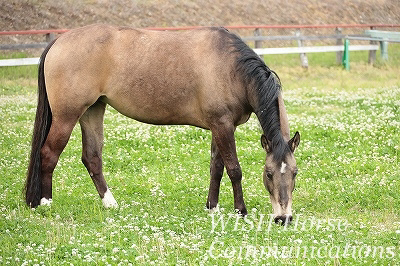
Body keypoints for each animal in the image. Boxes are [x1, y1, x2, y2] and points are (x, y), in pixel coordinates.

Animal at [24, 24, 300, 224]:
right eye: (268, 173)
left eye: (295, 172)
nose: (283, 218)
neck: (231, 68)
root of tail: (59, 41)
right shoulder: (223, 126)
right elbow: (234, 169)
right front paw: (240, 211)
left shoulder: (219, 126)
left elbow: (216, 168)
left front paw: (212, 207)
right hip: (67, 116)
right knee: (48, 154)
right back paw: (46, 203)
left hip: (92, 111)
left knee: (92, 158)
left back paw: (110, 203)